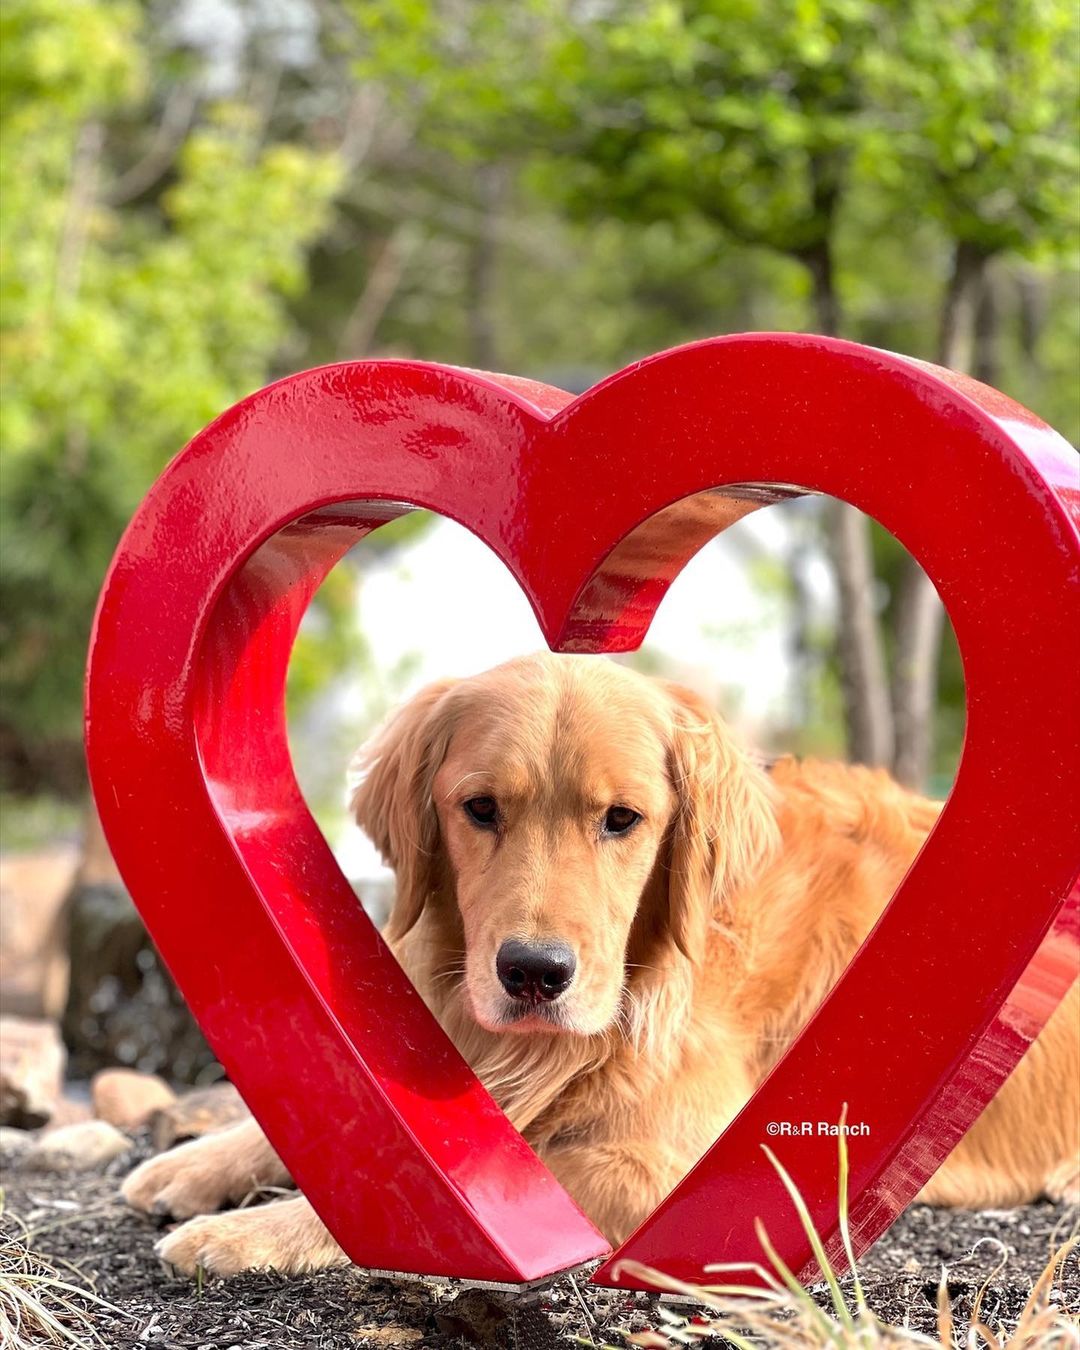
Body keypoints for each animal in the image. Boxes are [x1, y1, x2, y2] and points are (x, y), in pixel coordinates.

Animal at [122, 653, 1074, 1274]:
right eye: (480, 808)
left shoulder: (685, 1164)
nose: (534, 973)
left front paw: (249, 1232)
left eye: (622, 819)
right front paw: (199, 1161)